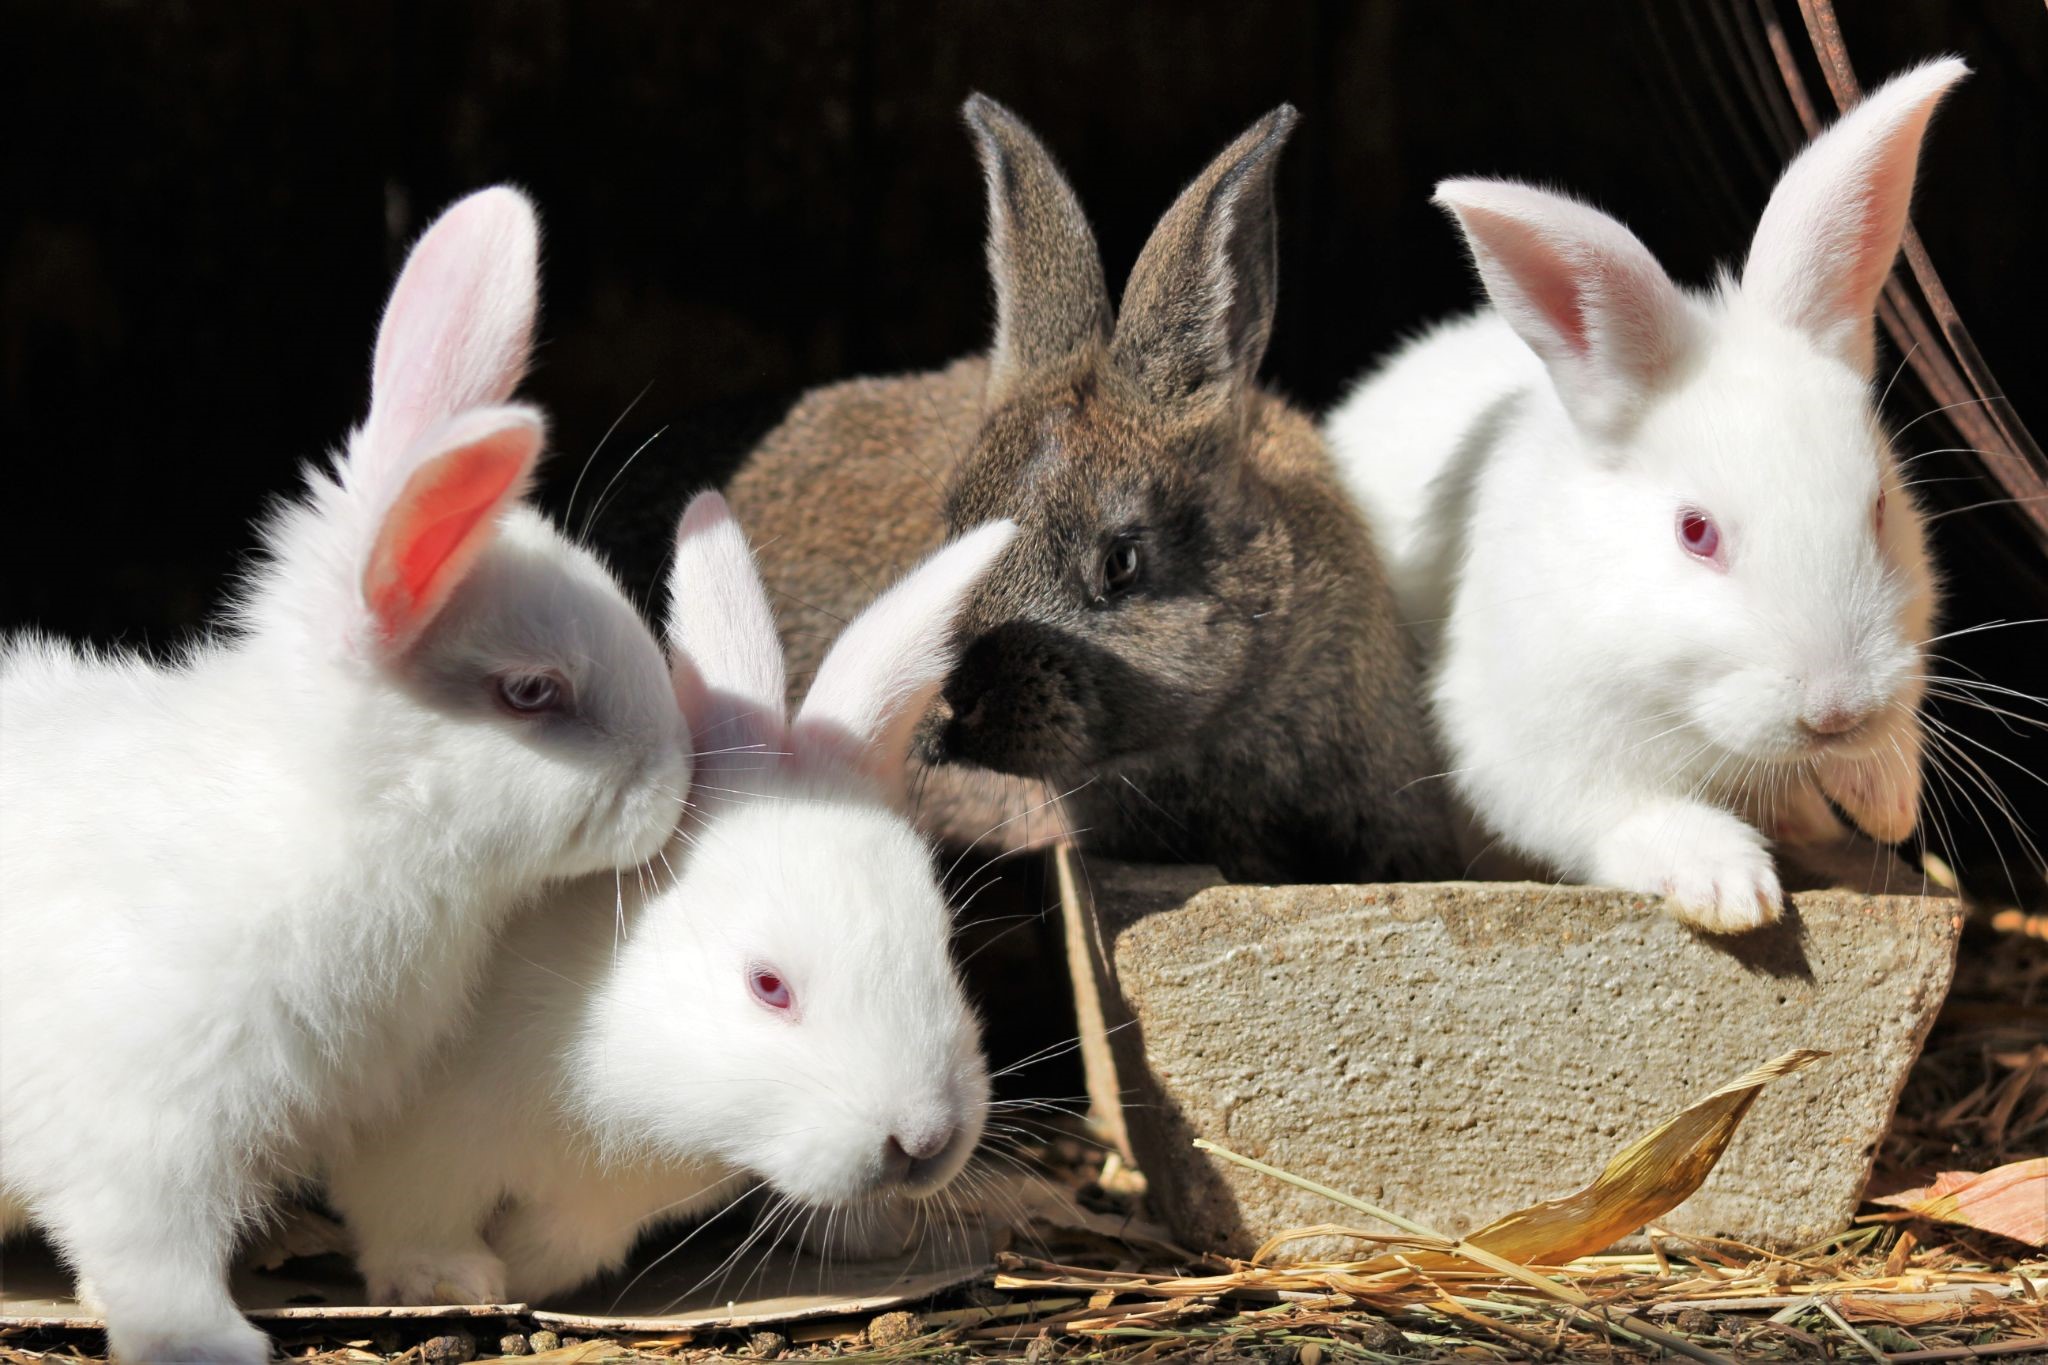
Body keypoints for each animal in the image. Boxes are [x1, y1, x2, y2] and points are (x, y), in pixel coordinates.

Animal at [0, 187, 692, 1363]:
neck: (336, 817)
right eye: (531, 694)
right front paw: (213, 1342)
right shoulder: (147, 1125)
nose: (680, 781)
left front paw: (453, 1276)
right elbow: (147, 1251)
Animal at [326, 492, 1012, 1307]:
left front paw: (520, 1268)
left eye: (944, 944)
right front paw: (452, 1282)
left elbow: (561, 1246)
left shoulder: (598, 1209)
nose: (925, 1140)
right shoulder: (416, 1150)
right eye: (768, 986)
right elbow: (412, 1221)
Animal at [1322, 59, 1967, 932]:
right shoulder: (1528, 745)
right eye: (1695, 533)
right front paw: (1731, 888)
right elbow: (1628, 812)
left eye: (1878, 509)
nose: (1836, 713)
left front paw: (1886, 799)